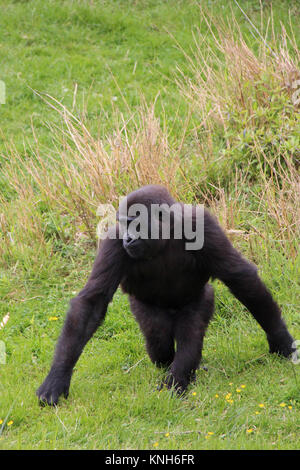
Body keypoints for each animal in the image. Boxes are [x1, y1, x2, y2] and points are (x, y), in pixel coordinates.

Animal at [35, 185, 296, 404]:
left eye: (134, 223)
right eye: (124, 225)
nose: (128, 238)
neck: (165, 233)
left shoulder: (203, 224)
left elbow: (239, 276)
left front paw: (280, 338)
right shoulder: (113, 242)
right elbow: (92, 302)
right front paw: (58, 377)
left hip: (200, 298)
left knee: (190, 332)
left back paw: (177, 379)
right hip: (142, 307)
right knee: (159, 339)